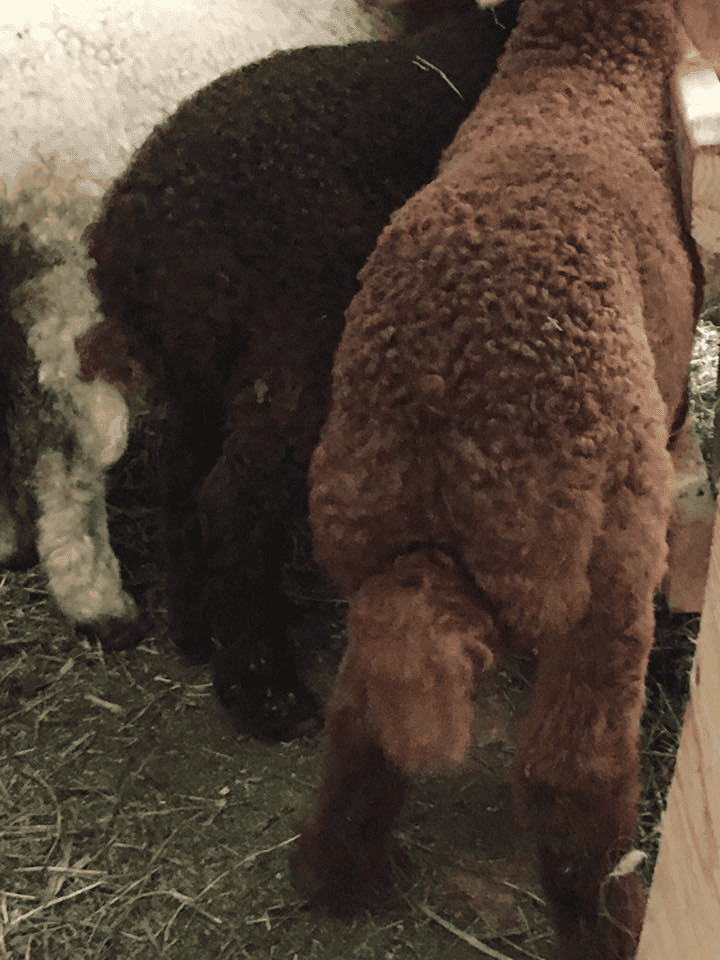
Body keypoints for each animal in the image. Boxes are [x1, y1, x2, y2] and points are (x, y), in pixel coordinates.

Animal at [76, 0, 522, 739]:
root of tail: (140, 236)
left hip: (197, 369)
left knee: (178, 475)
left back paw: (194, 631)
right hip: (290, 351)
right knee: (231, 499)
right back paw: (264, 692)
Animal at [289, 0, 707, 956]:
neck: (583, 58)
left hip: (369, 561)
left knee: (361, 717)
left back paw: (337, 875)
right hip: (609, 571)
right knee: (572, 776)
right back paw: (612, 925)